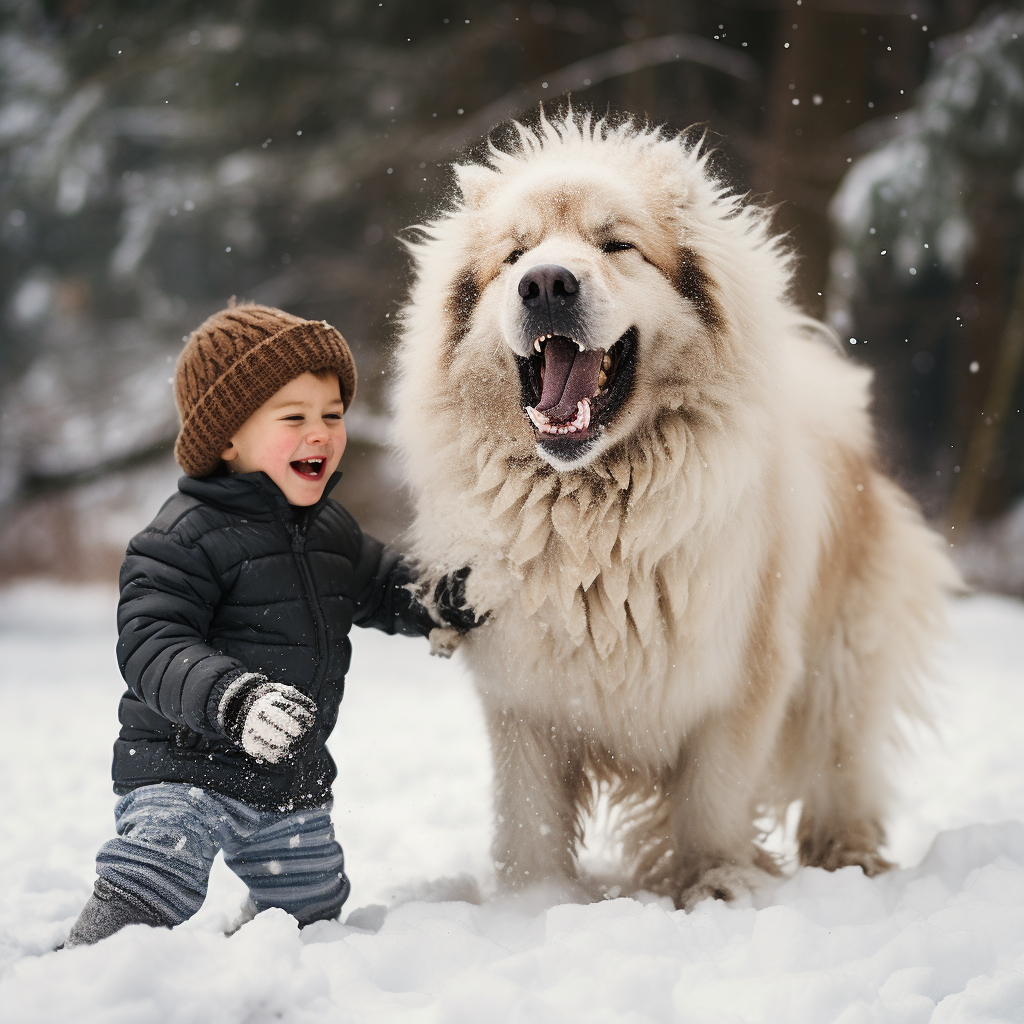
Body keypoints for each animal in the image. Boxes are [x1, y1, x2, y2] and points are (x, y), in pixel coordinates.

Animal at [393, 112, 958, 909]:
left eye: (615, 245)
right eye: (515, 256)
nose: (545, 282)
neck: (595, 512)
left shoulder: (737, 677)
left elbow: (712, 800)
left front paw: (717, 885)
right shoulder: (525, 697)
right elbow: (530, 815)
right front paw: (537, 904)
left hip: (842, 666)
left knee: (839, 770)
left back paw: (849, 859)